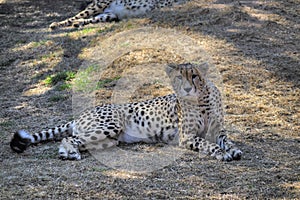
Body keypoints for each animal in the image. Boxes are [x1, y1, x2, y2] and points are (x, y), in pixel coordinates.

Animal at [10, 63, 243, 162]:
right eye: (179, 77)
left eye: (194, 76)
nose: (186, 89)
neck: (201, 99)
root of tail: (82, 114)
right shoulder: (187, 137)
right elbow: (208, 144)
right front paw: (222, 153)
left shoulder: (218, 131)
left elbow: (227, 141)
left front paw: (233, 150)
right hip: (109, 127)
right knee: (68, 138)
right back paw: (68, 153)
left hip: (108, 140)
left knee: (76, 140)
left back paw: (70, 152)